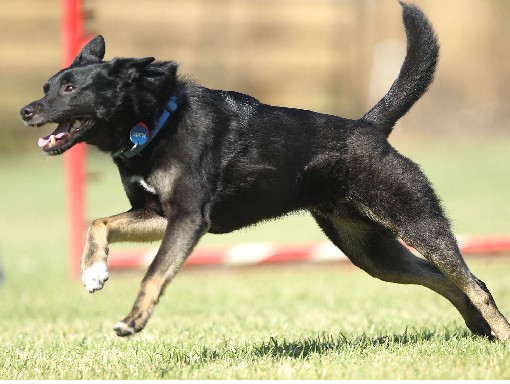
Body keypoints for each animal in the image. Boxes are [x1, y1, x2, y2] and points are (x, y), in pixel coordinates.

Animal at [19, 2, 510, 340]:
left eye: (70, 88)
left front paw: (133, 320)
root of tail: (370, 127)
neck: (153, 121)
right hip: (371, 252)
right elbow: (99, 222)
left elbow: (153, 272)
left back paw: (500, 335)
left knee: (473, 281)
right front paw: (93, 271)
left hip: (415, 220)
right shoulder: (159, 214)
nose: (26, 111)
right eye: (47, 85)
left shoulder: (188, 218)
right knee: (452, 281)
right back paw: (479, 329)